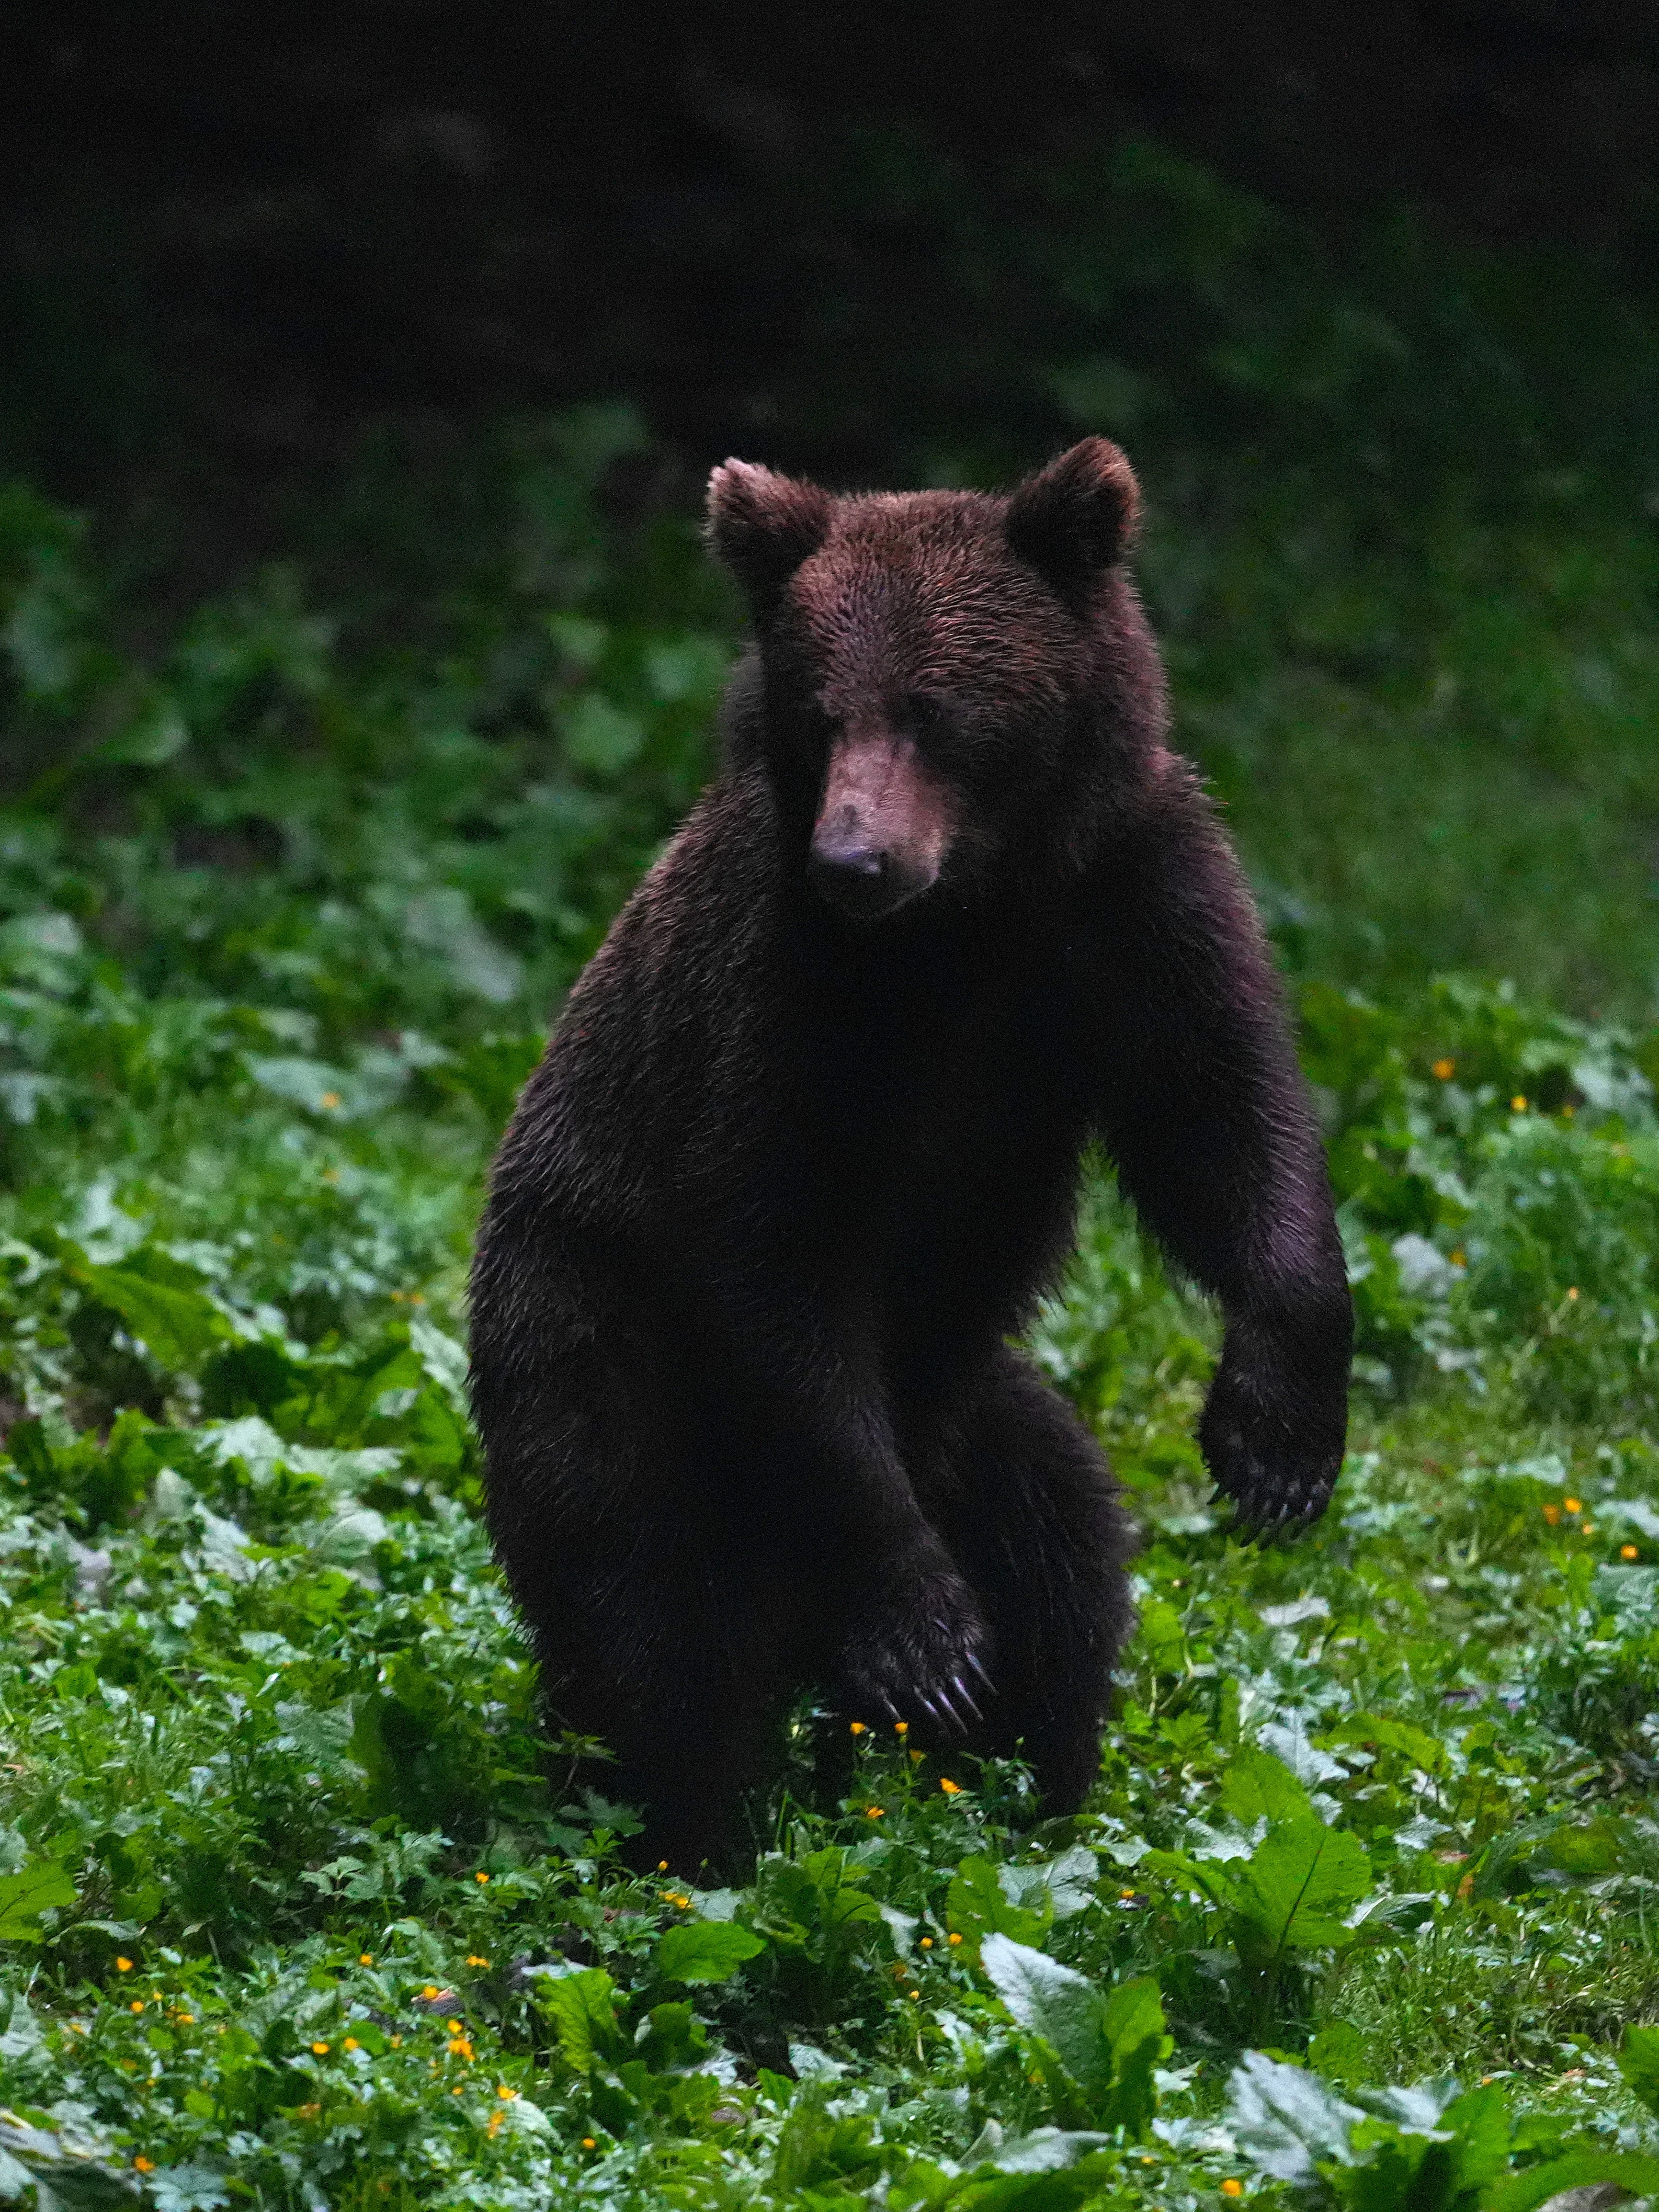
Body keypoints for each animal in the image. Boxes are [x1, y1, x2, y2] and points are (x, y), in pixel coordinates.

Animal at [468, 437, 1353, 1873]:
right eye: (823, 710)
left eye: (938, 710)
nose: (856, 857)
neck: (970, 920)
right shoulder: (790, 1004)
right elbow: (767, 1254)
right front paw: (923, 1637)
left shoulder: (1129, 910)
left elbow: (1222, 1125)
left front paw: (1276, 1441)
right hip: (597, 1359)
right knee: (658, 1631)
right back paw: (688, 1845)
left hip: (974, 1408)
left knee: (1066, 1562)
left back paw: (1041, 1797)